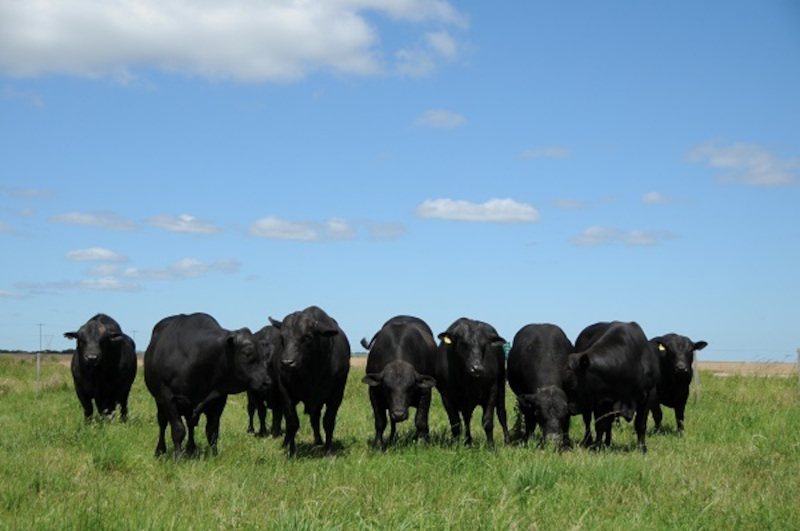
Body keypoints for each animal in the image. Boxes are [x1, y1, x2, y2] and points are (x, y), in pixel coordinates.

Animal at [143, 314, 268, 460]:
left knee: (191, 424)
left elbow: (212, 431)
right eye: (247, 353)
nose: (267, 382)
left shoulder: (218, 400)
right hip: (159, 401)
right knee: (163, 423)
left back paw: (191, 449)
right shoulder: (170, 398)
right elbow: (178, 429)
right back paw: (160, 450)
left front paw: (214, 455)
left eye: (264, 355)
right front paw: (178, 457)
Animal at [268, 308, 350, 458]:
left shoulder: (337, 394)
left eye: (306, 337)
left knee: (315, 419)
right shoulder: (285, 391)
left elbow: (328, 421)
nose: (287, 363)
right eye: (282, 338)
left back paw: (319, 442)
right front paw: (291, 451)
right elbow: (292, 422)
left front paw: (328, 450)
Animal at [360, 318, 438, 450]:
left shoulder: (425, 392)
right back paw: (392, 438)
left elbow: (420, 421)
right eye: (386, 387)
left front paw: (423, 443)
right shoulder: (373, 392)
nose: (399, 414)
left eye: (411, 387)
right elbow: (380, 422)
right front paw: (378, 445)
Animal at [434, 318, 510, 446]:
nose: (477, 368)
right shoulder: (446, 395)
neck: (465, 380)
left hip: (501, 384)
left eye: (484, 345)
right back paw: (468, 441)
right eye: (463, 344)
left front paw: (491, 446)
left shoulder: (492, 390)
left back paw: (507, 441)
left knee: (501, 413)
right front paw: (455, 445)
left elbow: (487, 421)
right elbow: (455, 423)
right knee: (467, 418)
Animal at [564, 320, 656, 454]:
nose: (569, 408)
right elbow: (600, 425)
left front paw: (642, 448)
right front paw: (596, 447)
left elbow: (640, 424)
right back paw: (589, 441)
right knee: (589, 421)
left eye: (570, 381)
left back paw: (607, 443)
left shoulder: (649, 395)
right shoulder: (600, 400)